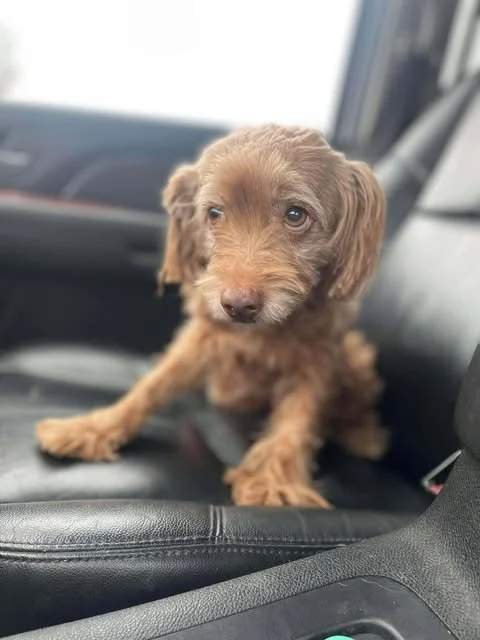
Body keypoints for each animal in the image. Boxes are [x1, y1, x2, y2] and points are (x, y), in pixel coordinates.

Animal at [36, 124, 387, 508]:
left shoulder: (319, 357)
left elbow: (298, 418)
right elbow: (152, 386)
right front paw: (92, 428)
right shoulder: (202, 338)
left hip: (356, 357)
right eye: (214, 213)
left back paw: (363, 435)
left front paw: (273, 482)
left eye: (296, 215)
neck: (266, 330)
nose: (238, 305)